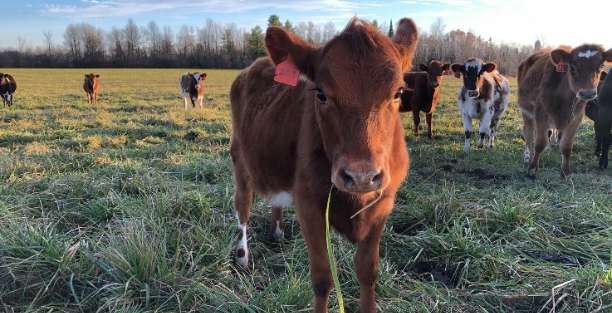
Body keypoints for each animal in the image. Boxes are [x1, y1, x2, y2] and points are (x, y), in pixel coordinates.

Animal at [231, 17, 420, 312]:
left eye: (398, 92)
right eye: (320, 94)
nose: (361, 176)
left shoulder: (383, 205)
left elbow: (368, 271)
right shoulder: (309, 206)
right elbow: (322, 278)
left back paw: (277, 232)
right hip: (240, 159)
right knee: (243, 206)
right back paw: (242, 256)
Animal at [516, 44, 612, 177]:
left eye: (601, 66)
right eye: (572, 67)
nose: (588, 93)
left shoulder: (576, 117)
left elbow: (566, 146)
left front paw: (565, 172)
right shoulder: (541, 113)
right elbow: (539, 143)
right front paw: (532, 169)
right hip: (526, 112)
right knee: (528, 133)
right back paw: (527, 157)